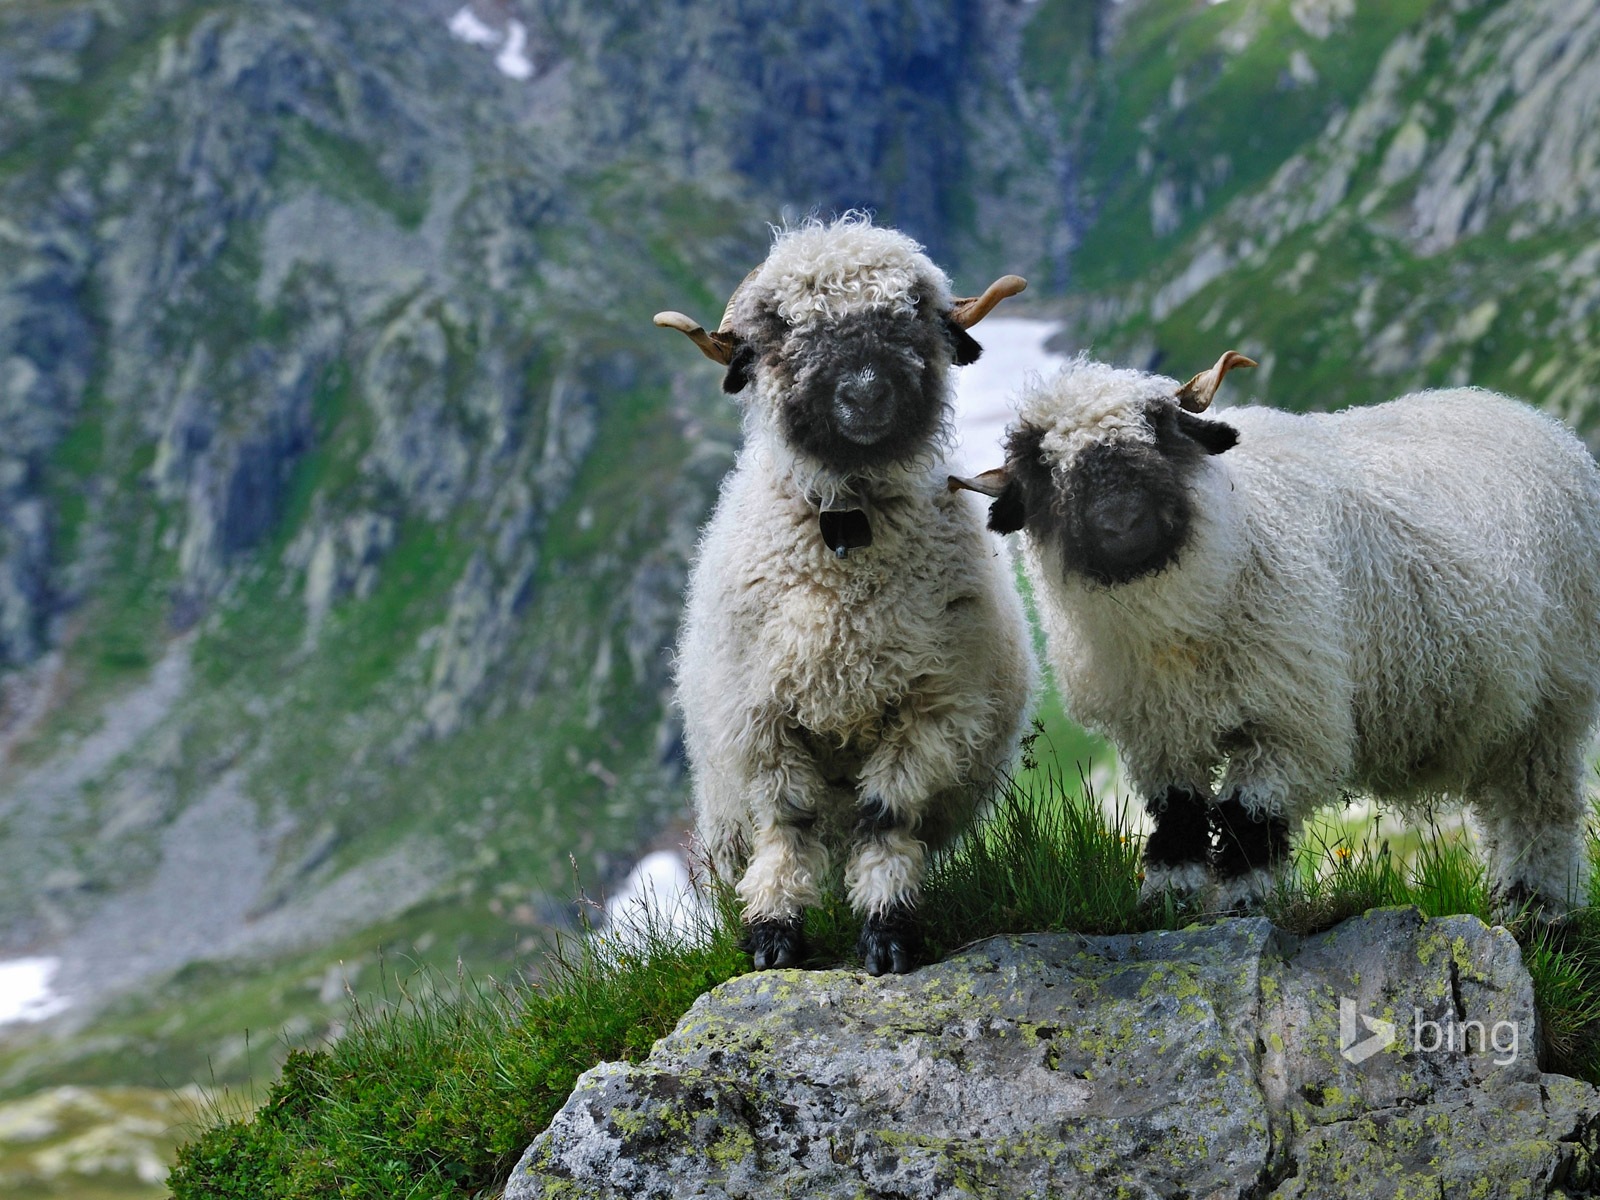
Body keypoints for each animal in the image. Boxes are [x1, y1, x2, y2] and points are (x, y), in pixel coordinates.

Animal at [656, 216, 1030, 979]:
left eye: (910, 315)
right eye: (782, 328)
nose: (864, 391)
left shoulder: (931, 710)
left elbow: (884, 819)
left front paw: (886, 931)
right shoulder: (760, 720)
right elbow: (786, 823)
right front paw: (773, 932)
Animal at [953, 352, 1593, 915]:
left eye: (1160, 430)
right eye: (1042, 468)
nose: (1122, 523)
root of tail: (1531, 417)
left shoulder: (1292, 717)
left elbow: (1248, 817)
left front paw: (1246, 902)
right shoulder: (1156, 729)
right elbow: (1178, 811)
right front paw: (1168, 897)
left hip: (1554, 702)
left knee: (1542, 809)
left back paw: (1538, 905)